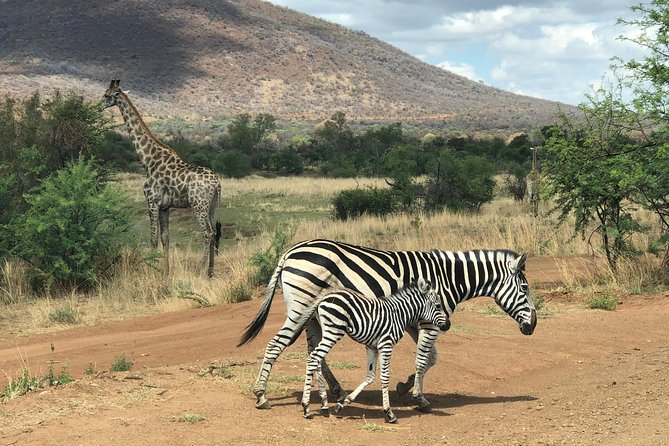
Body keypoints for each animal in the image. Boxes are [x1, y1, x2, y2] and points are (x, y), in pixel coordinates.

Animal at [99, 78, 220, 278]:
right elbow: (165, 238)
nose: (97, 107)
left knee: (207, 233)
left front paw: (152, 271)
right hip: (212, 206)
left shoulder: (152, 201)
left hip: (198, 205)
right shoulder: (165, 206)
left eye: (107, 95)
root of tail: (217, 183)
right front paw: (165, 271)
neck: (147, 159)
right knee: (214, 234)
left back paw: (201, 272)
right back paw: (210, 271)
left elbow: (153, 238)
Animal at [294, 280, 446, 424]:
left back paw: (322, 405)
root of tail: (325, 296)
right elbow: (385, 377)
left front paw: (342, 404)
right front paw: (389, 413)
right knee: (313, 358)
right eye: (438, 306)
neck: (399, 315)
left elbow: (370, 376)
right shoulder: (386, 344)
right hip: (333, 330)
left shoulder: (372, 347)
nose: (447, 325)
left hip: (325, 330)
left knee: (316, 359)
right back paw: (306, 407)